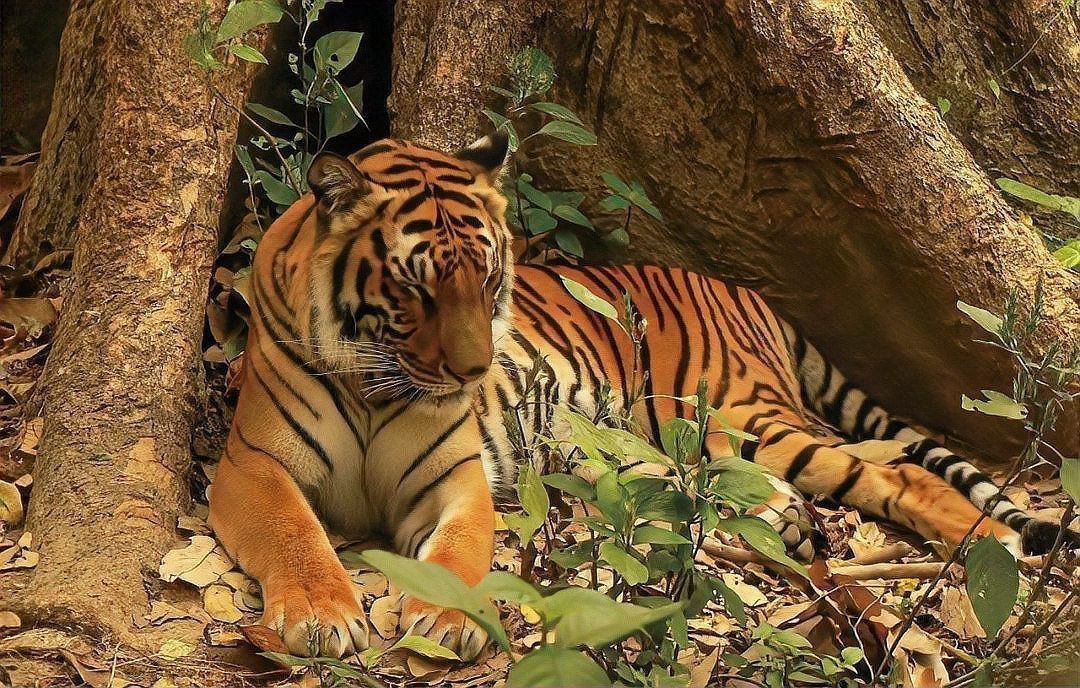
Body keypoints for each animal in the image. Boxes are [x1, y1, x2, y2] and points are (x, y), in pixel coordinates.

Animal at [207, 130, 1073, 661]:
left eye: (487, 279)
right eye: (416, 289)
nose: (474, 372)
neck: (375, 380)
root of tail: (749, 293)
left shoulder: (452, 477)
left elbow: (461, 553)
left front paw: (448, 617)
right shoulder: (250, 464)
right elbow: (294, 532)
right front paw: (321, 616)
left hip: (743, 413)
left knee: (899, 471)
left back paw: (998, 548)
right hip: (673, 440)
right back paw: (787, 519)